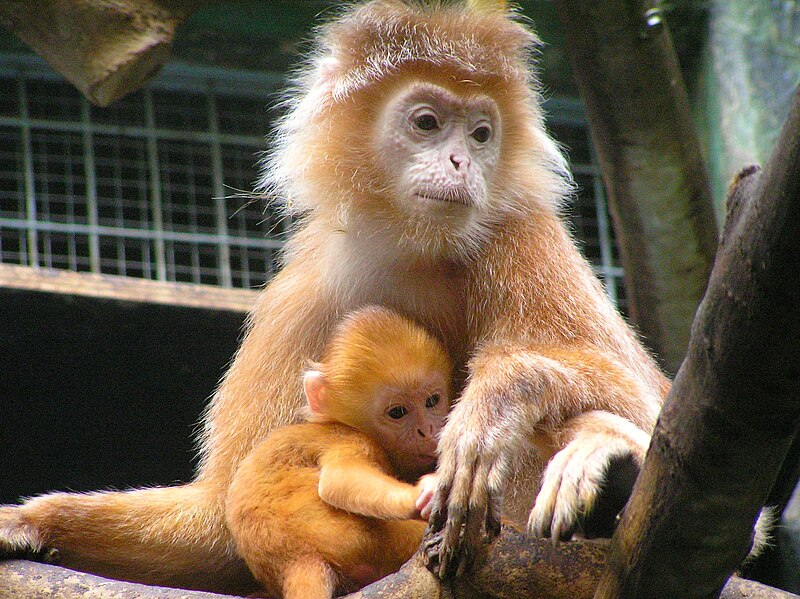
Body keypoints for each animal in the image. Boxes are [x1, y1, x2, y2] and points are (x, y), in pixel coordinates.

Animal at [225, 308, 450, 599]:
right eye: (398, 412)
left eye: (432, 401)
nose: (427, 430)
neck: (341, 423)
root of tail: (298, 559)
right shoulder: (352, 440)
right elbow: (338, 480)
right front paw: (422, 494)